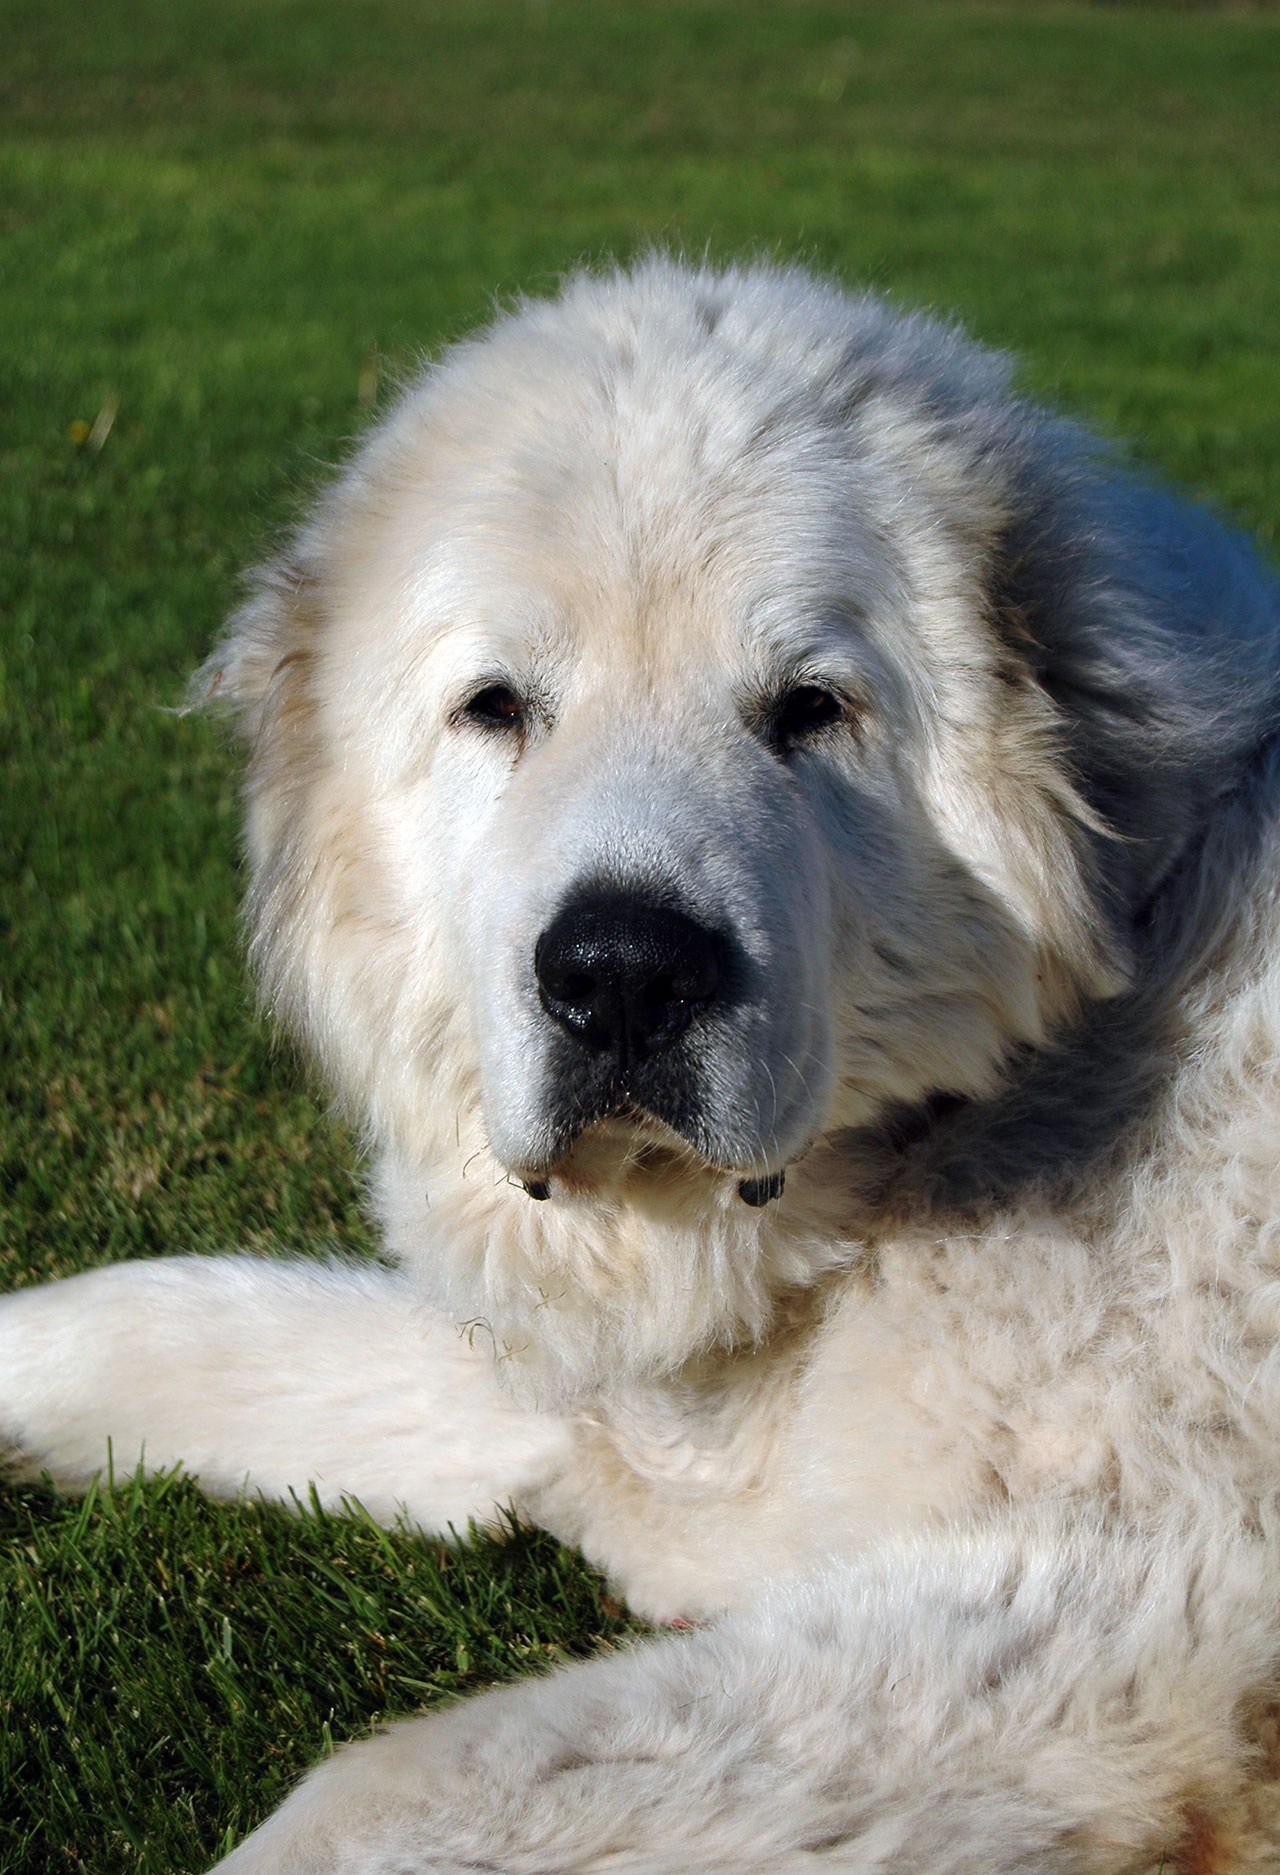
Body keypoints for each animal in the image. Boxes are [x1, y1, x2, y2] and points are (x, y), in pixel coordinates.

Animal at [7, 264, 1280, 1875]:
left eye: (811, 707)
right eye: (497, 705)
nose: (622, 974)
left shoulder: (1115, 1610)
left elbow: (369, 1796)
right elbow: (201, 1319)